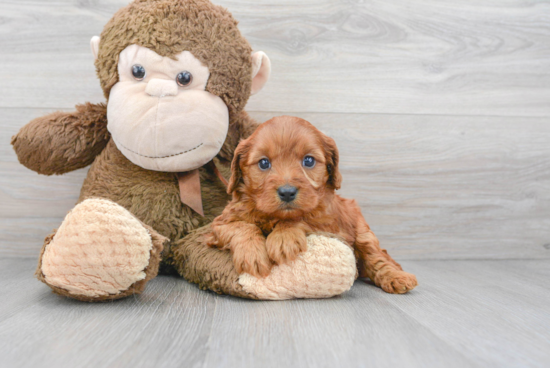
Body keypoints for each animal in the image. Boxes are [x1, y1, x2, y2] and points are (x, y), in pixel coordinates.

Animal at [207, 115, 418, 294]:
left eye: (308, 161)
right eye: (264, 163)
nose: (287, 192)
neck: (275, 216)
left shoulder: (329, 222)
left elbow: (303, 218)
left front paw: (283, 238)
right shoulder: (219, 224)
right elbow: (241, 227)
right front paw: (252, 254)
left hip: (363, 232)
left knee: (378, 258)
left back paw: (398, 278)